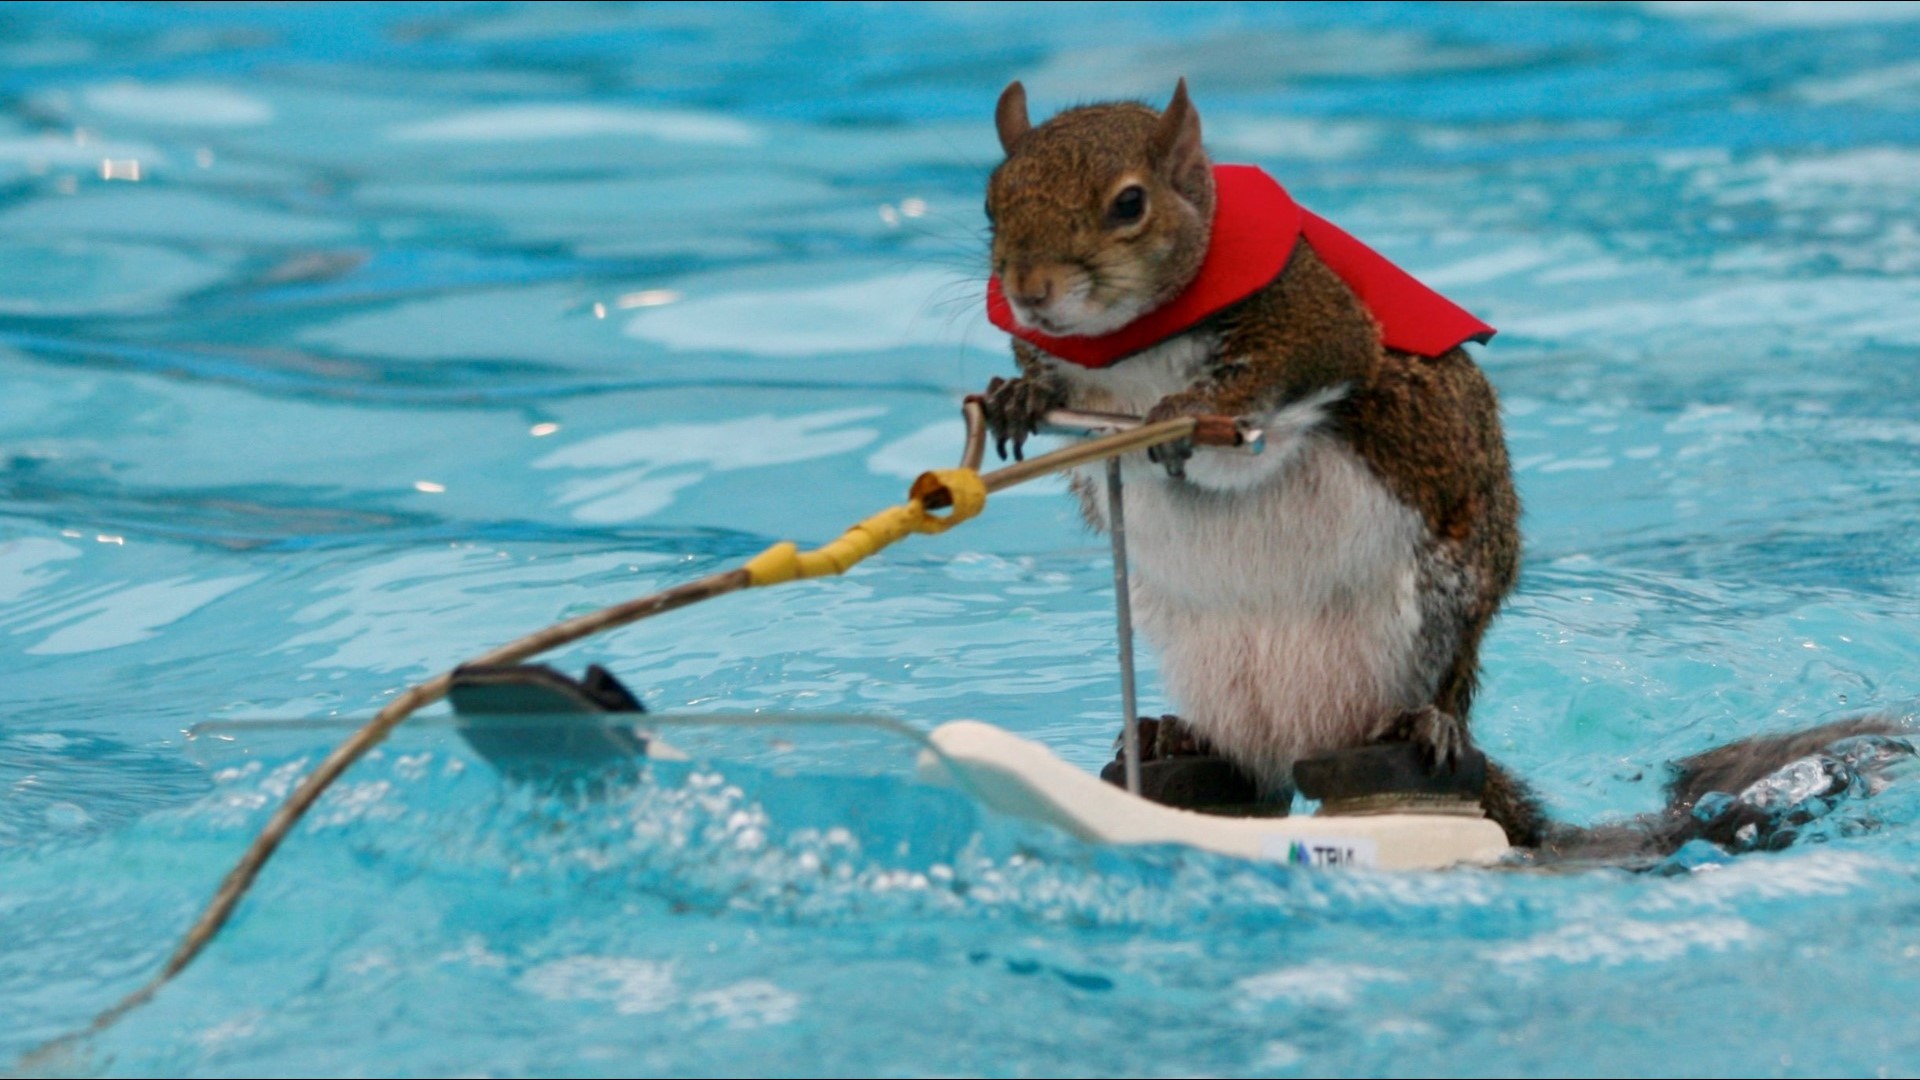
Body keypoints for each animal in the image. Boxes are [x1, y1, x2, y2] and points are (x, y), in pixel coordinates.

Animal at [974, 79, 1910, 854]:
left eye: (1129, 204)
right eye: (992, 204)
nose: (1029, 292)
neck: (1132, 346)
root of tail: (1306, 732)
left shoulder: (1313, 325)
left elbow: (1278, 390)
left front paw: (1177, 416)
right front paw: (1016, 396)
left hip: (1439, 607)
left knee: (1433, 698)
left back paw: (1425, 728)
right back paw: (1172, 739)